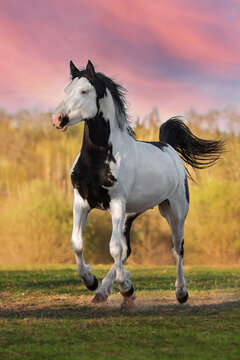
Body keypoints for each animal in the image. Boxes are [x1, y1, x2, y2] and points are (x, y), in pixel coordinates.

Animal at [51, 59, 225, 304]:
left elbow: (113, 248)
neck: (99, 159)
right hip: (129, 215)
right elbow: (77, 243)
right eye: (66, 90)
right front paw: (91, 281)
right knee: (127, 250)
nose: (57, 119)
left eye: (84, 91)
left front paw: (124, 287)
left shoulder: (116, 203)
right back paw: (104, 290)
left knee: (177, 249)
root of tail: (169, 147)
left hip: (174, 211)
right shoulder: (81, 201)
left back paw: (180, 292)